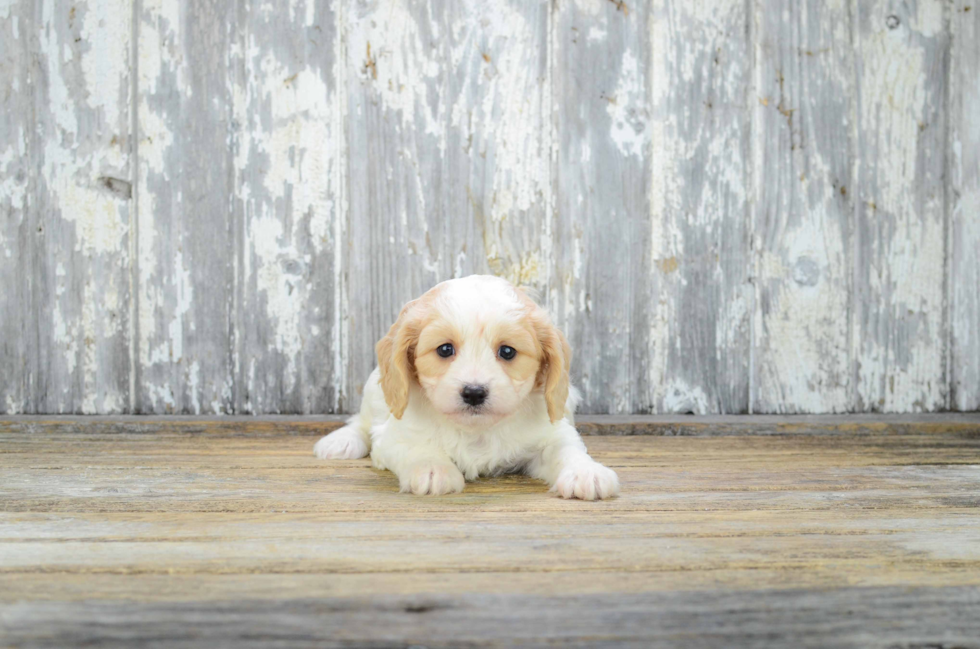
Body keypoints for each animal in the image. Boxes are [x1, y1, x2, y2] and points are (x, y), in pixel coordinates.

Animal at [314, 274, 620, 502]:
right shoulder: (393, 437)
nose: (474, 392)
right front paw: (433, 469)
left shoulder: (551, 433)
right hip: (375, 392)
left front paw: (586, 473)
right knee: (361, 421)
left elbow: (567, 449)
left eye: (507, 351)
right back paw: (341, 441)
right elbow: (417, 447)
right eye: (444, 349)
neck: (477, 431)